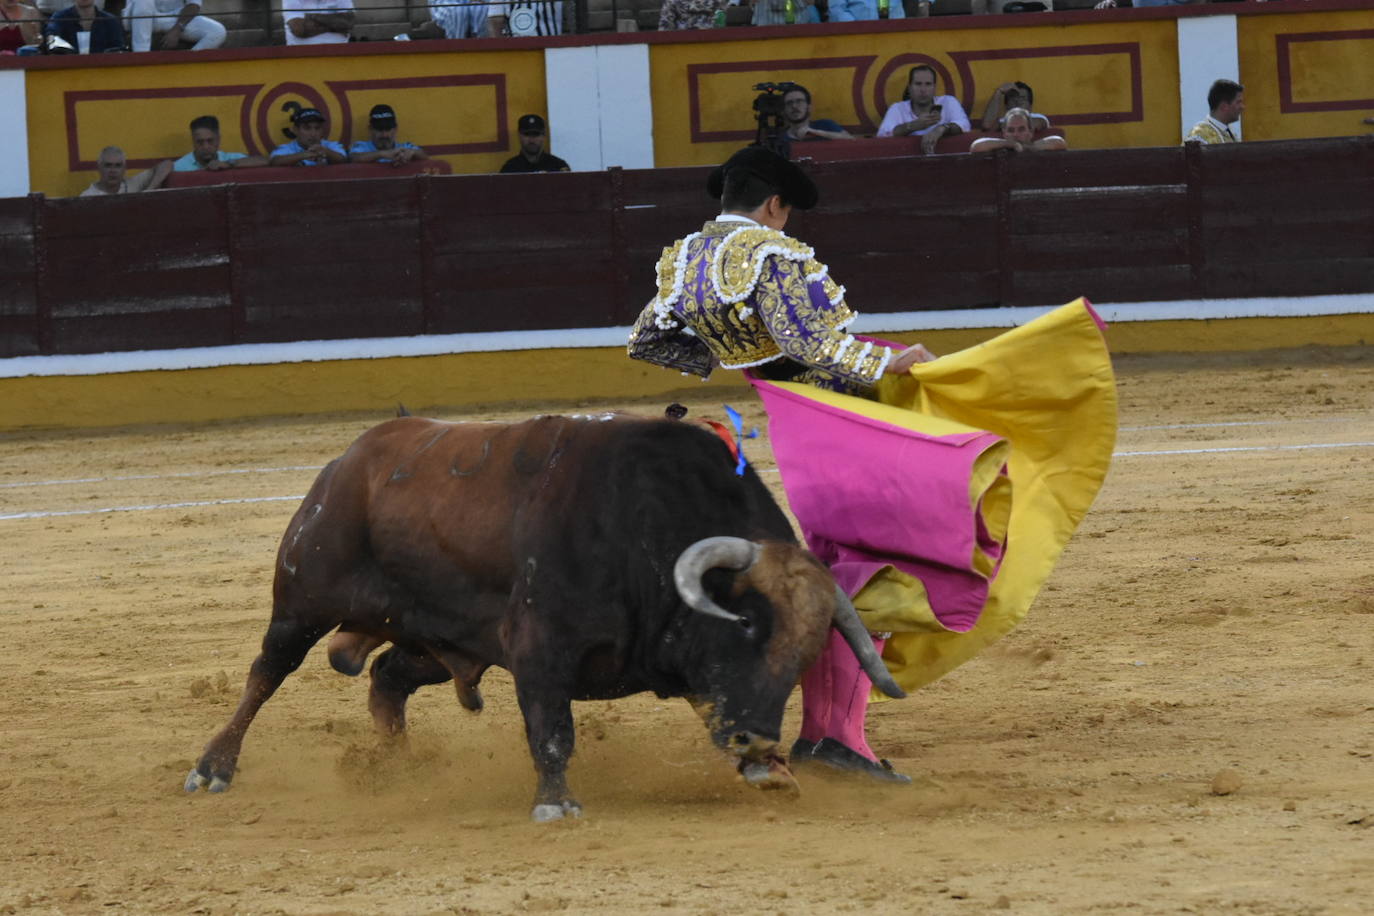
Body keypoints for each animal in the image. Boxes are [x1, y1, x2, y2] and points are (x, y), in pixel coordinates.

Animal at [185, 411, 901, 818]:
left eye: (805, 654)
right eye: (746, 624)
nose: (758, 742)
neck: (645, 535)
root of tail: (350, 460)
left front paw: (772, 773)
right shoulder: (539, 650)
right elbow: (552, 732)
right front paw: (556, 804)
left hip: (436, 642)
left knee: (387, 677)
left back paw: (397, 768)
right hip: (301, 602)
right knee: (265, 675)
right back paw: (213, 767)